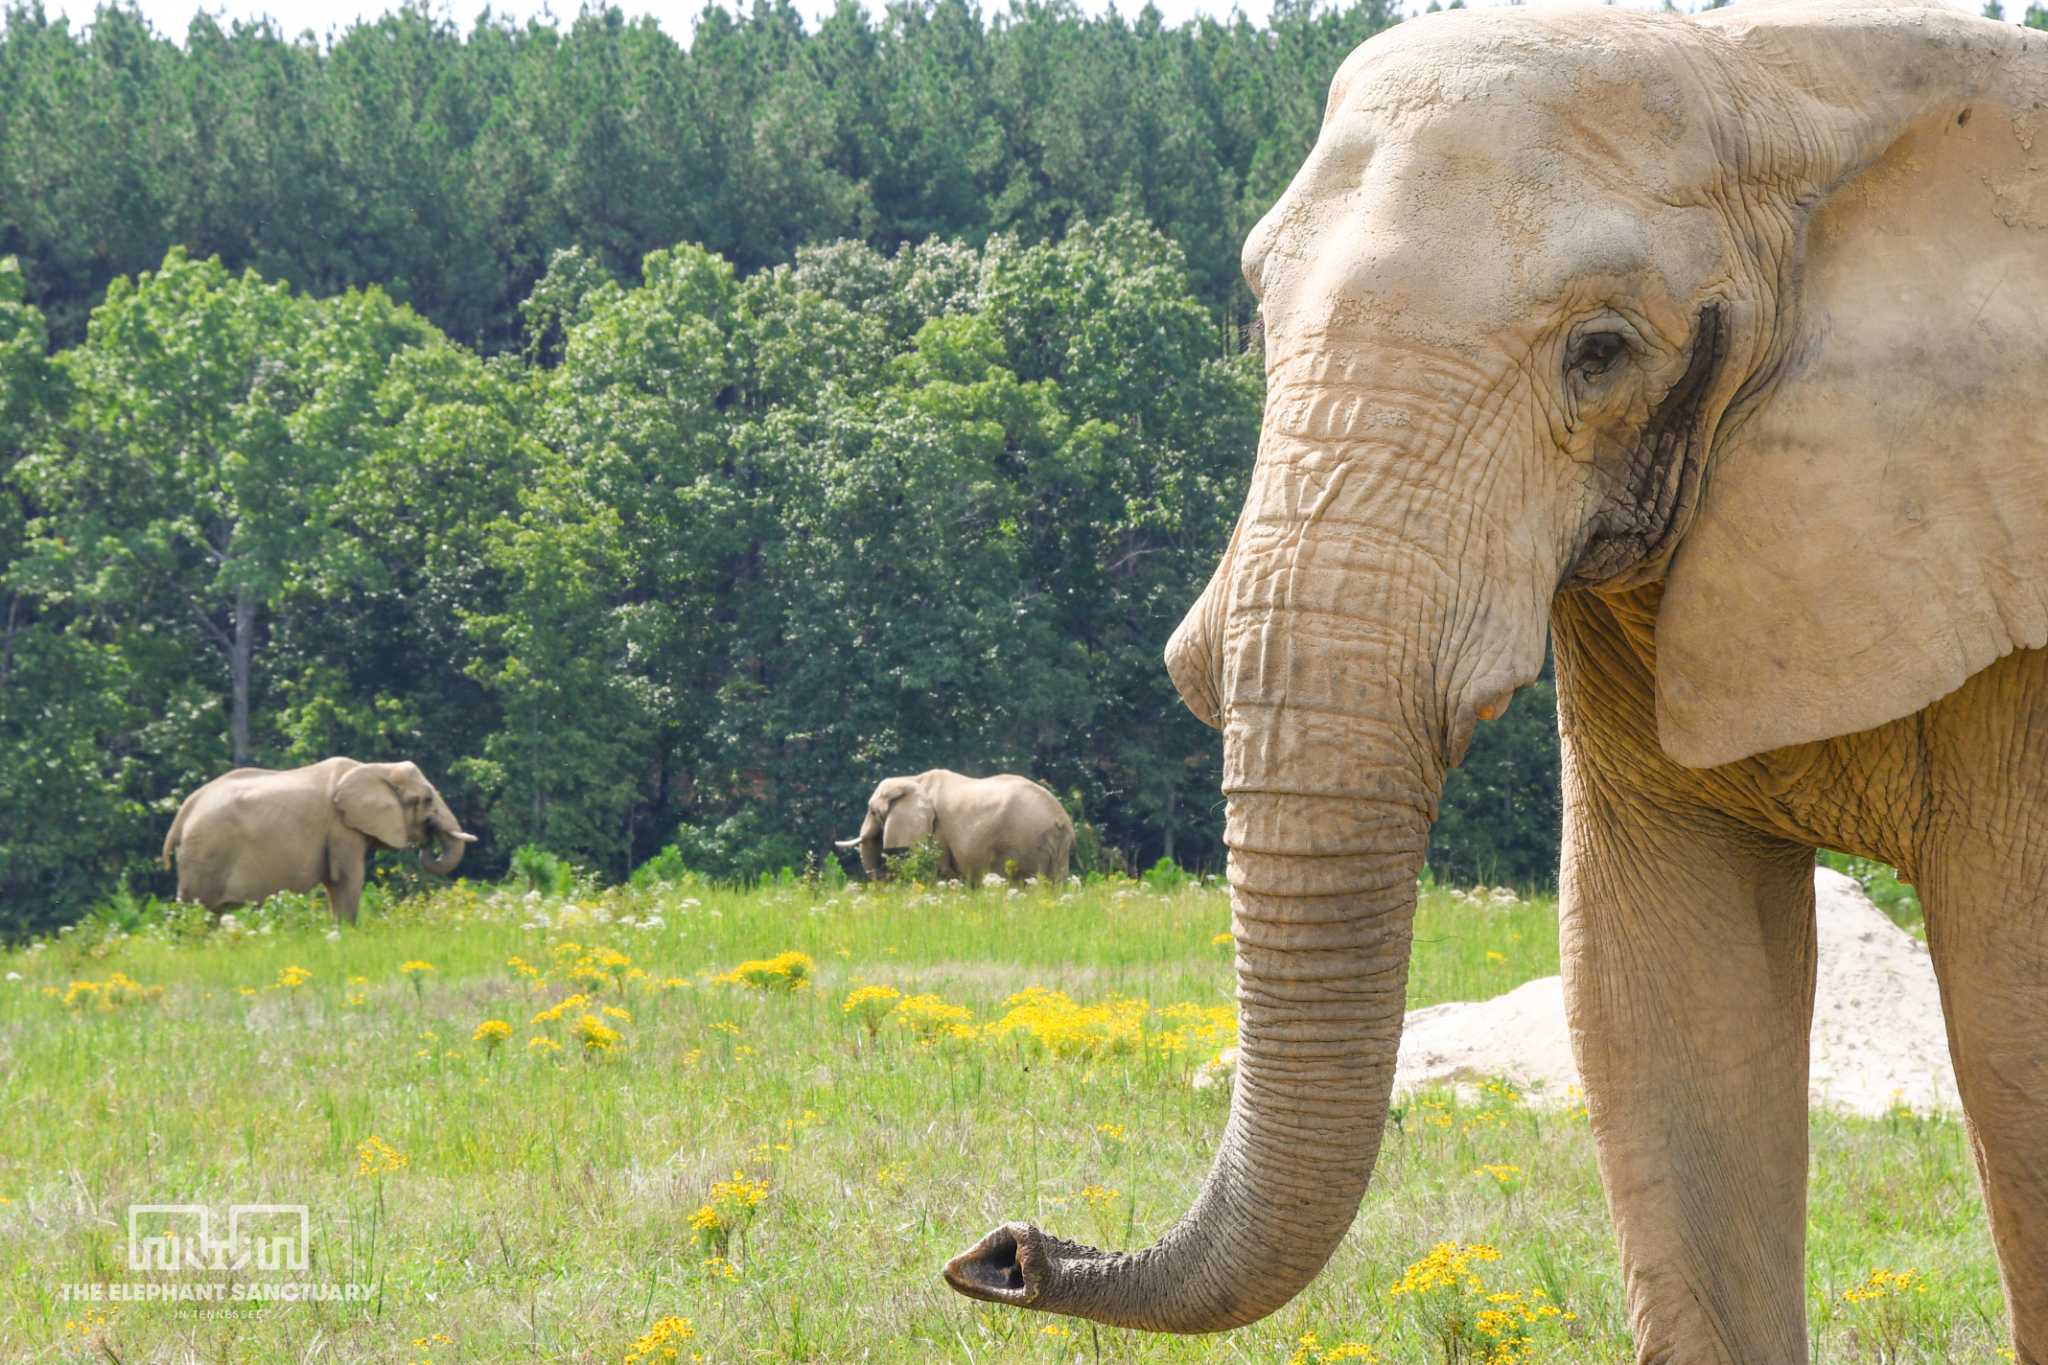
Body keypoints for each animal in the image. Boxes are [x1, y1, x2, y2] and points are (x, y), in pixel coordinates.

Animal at [160, 757, 475, 929]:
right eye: (426, 799)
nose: (428, 839)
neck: (374, 768)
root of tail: (183, 812)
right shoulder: (340, 827)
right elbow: (346, 879)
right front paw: (347, 933)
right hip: (206, 854)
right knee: (196, 913)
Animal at [835, 769, 1081, 888]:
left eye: (873, 811)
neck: (912, 780)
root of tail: (1062, 820)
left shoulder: (935, 831)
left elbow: (936, 869)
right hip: (1055, 849)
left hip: (1024, 844)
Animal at [942, 5, 2048, 1358]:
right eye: (1257, 306)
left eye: (1600, 352)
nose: (1003, 1249)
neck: (1775, 75)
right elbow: (1659, 1000)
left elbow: (2011, 1023)